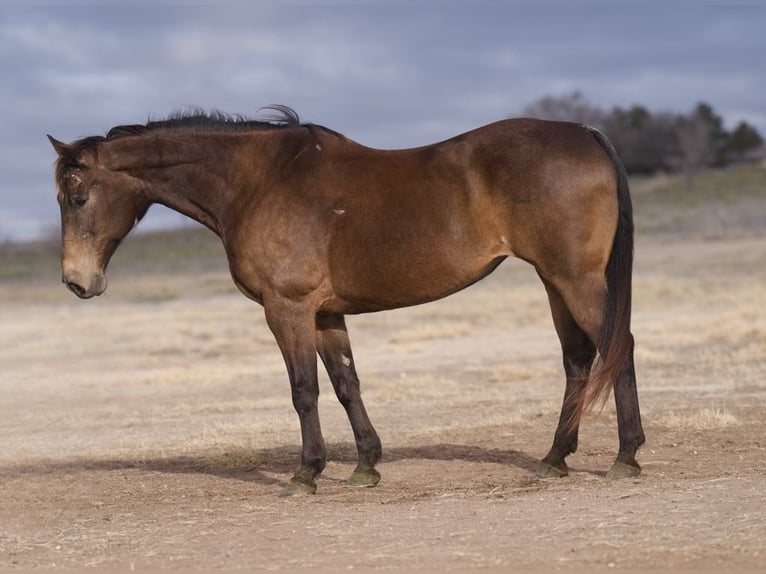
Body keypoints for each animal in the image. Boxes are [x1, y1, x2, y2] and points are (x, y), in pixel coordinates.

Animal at [48, 106, 644, 498]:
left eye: (77, 197)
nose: (77, 282)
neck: (257, 182)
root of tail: (585, 133)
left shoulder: (286, 309)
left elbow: (304, 390)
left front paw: (306, 473)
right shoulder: (326, 313)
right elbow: (345, 384)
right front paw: (365, 466)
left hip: (575, 280)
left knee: (620, 348)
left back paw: (626, 455)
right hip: (554, 281)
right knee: (578, 361)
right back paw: (555, 458)